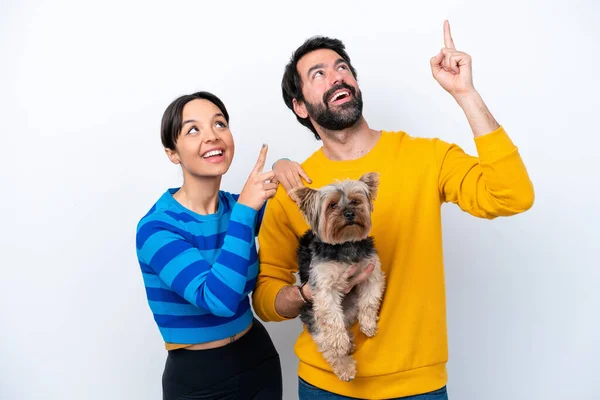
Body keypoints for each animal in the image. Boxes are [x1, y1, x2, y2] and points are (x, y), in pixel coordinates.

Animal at [290, 172, 384, 382]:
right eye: (332, 205)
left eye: (356, 201)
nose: (349, 213)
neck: (346, 243)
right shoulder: (324, 288)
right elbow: (332, 318)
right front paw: (340, 343)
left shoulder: (371, 272)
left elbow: (370, 301)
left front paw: (368, 325)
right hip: (313, 316)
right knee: (327, 344)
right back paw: (345, 362)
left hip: (351, 307)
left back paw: (350, 341)